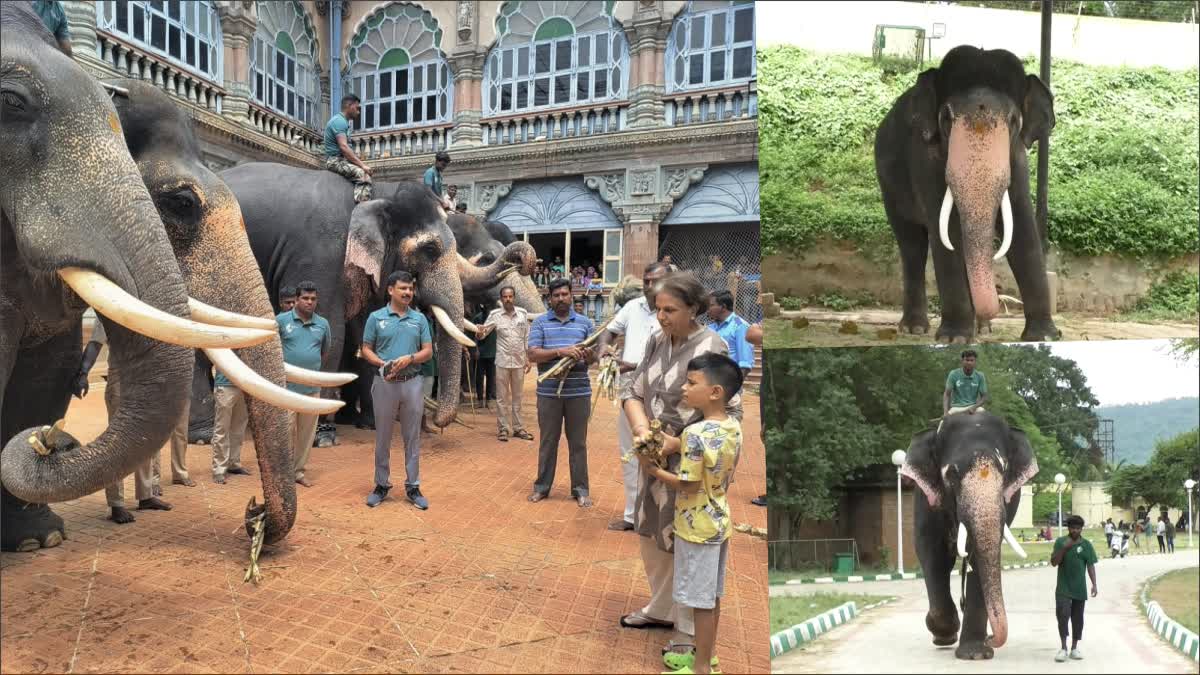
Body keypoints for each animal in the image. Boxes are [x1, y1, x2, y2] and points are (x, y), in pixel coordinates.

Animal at [217, 163, 535, 425]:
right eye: (429, 249)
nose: (521, 258)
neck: (375, 194)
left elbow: (365, 333)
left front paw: (370, 422)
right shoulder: (320, 253)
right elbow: (333, 332)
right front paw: (323, 432)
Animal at [873, 45, 1060, 341]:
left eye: (1013, 120)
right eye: (946, 118)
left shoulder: (1017, 160)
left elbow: (1023, 232)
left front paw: (1044, 337)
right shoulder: (926, 161)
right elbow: (947, 233)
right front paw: (954, 338)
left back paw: (982, 329)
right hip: (889, 187)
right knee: (912, 245)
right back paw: (915, 328)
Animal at [902, 410, 1041, 658]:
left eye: (1004, 471)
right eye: (952, 474)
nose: (992, 638)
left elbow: (977, 559)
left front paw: (975, 654)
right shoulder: (926, 498)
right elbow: (932, 552)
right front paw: (945, 633)